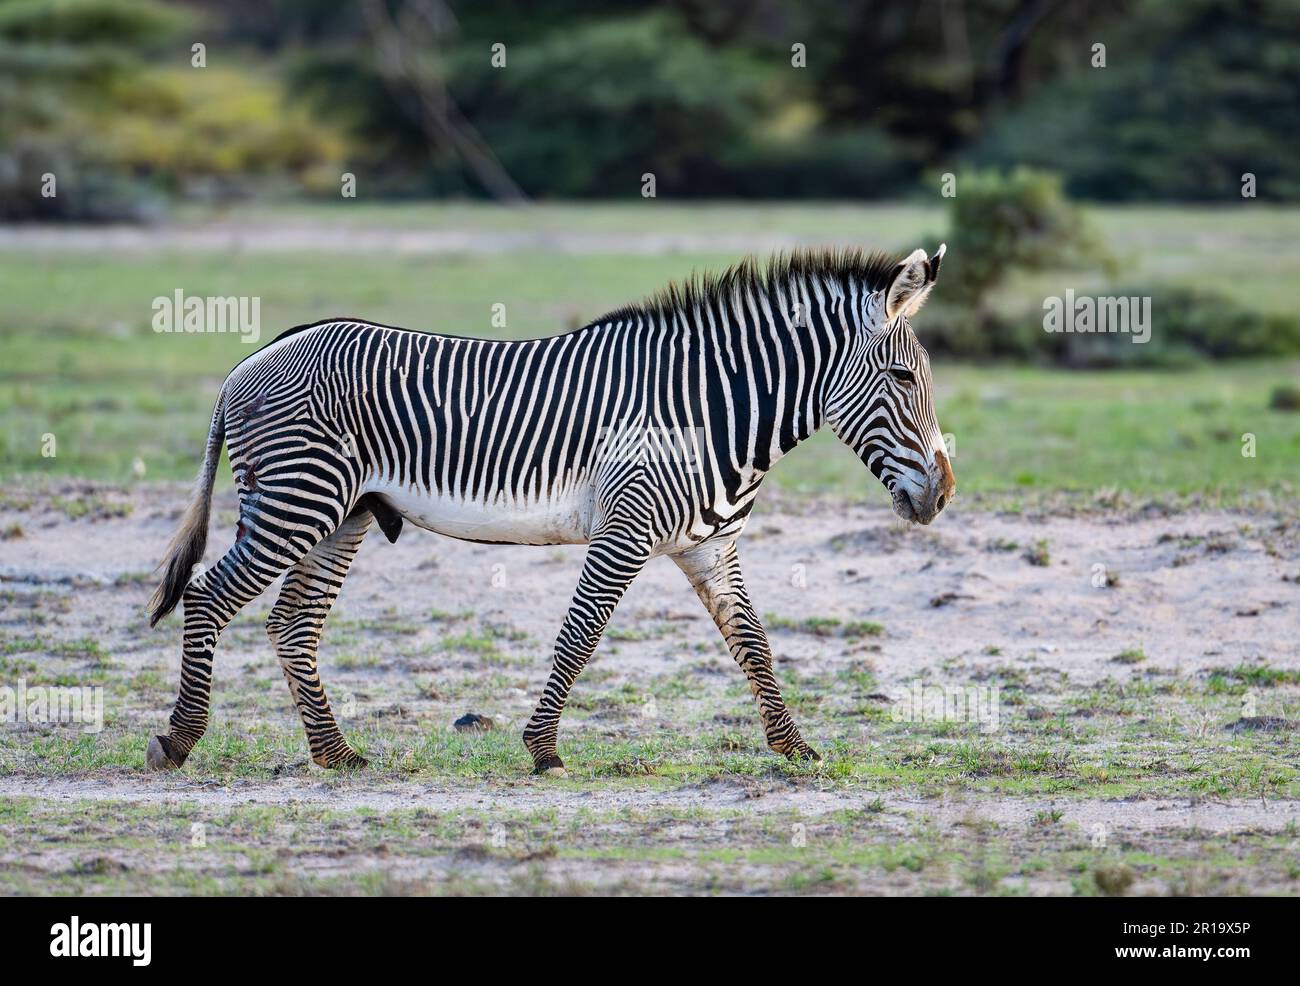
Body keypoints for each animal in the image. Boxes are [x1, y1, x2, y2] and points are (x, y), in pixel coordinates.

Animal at [144, 243, 956, 775]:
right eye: (901, 375)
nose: (943, 495)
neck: (709, 414)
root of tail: (253, 359)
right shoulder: (626, 529)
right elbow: (581, 635)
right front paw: (543, 749)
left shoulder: (709, 544)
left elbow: (753, 643)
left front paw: (794, 749)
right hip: (295, 501)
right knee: (209, 598)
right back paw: (179, 741)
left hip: (340, 514)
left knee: (292, 624)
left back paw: (334, 753)